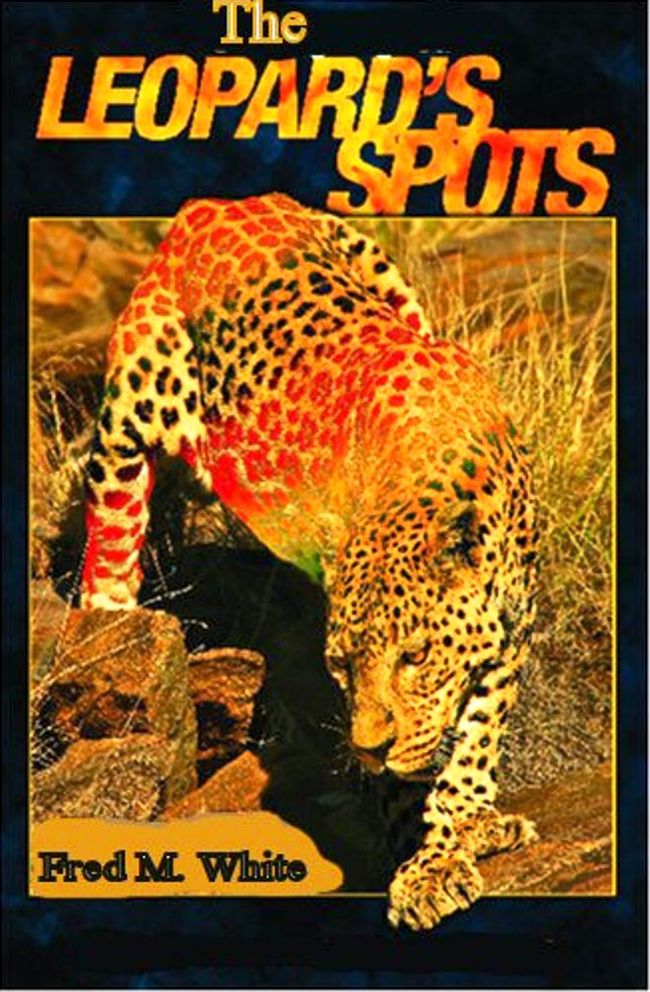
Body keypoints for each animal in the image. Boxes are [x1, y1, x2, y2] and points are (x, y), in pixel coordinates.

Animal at [80, 193, 539, 929]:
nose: (370, 749)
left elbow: (473, 740)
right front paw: (429, 861)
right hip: (130, 411)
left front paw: (469, 821)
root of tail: (214, 203)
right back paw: (110, 620)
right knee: (114, 520)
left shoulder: (511, 638)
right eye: (340, 665)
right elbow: (410, 785)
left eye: (415, 657)